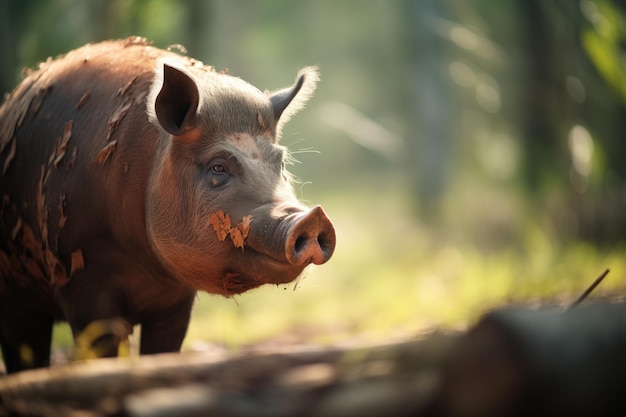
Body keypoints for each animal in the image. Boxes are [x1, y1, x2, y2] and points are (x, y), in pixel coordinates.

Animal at [0, 36, 336, 374]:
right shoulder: (81, 279)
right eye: (218, 167)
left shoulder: (176, 301)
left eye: (280, 163)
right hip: (15, 295)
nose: (311, 217)